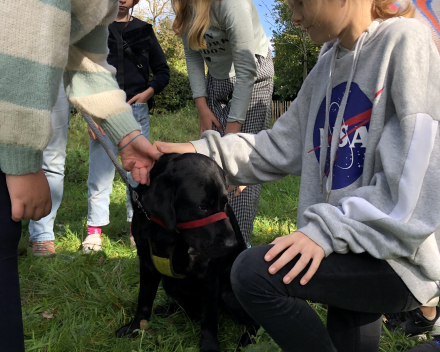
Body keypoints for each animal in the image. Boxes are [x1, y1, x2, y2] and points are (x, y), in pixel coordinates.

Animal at [117, 154, 260, 352]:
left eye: (224, 203)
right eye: (202, 207)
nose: (232, 245)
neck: (168, 233)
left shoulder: (209, 273)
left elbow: (209, 317)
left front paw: (209, 346)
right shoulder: (147, 262)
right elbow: (144, 300)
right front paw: (135, 328)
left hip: (227, 293)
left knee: (255, 322)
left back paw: (247, 341)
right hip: (168, 281)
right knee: (183, 303)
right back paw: (168, 308)